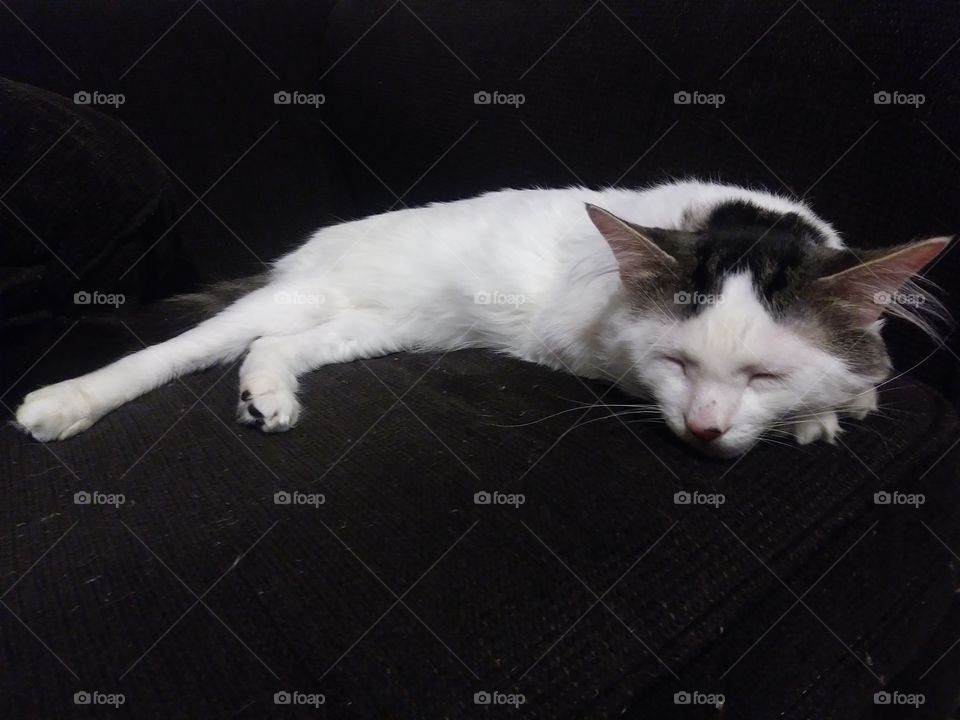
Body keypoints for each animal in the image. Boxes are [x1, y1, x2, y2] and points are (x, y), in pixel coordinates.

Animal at [11, 179, 948, 456]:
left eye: (764, 372)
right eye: (677, 364)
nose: (705, 431)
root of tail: (307, 249)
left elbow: (862, 373)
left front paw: (841, 400)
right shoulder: (593, 348)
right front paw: (823, 414)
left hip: (370, 326)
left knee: (275, 345)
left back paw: (266, 397)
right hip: (292, 301)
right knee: (176, 350)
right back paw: (60, 404)